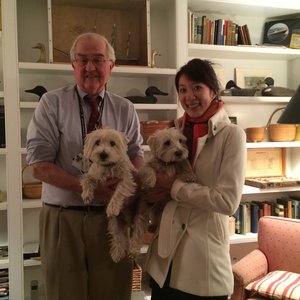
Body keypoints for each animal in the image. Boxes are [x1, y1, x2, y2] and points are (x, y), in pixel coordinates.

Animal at [81, 128, 139, 262]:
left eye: (113, 143)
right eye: (97, 142)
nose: (103, 154)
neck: (108, 167)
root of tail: (127, 222)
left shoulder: (126, 180)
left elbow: (118, 192)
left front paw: (112, 208)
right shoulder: (94, 174)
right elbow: (87, 179)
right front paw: (86, 195)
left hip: (138, 218)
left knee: (136, 235)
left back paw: (133, 251)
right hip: (114, 224)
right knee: (118, 237)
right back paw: (117, 253)